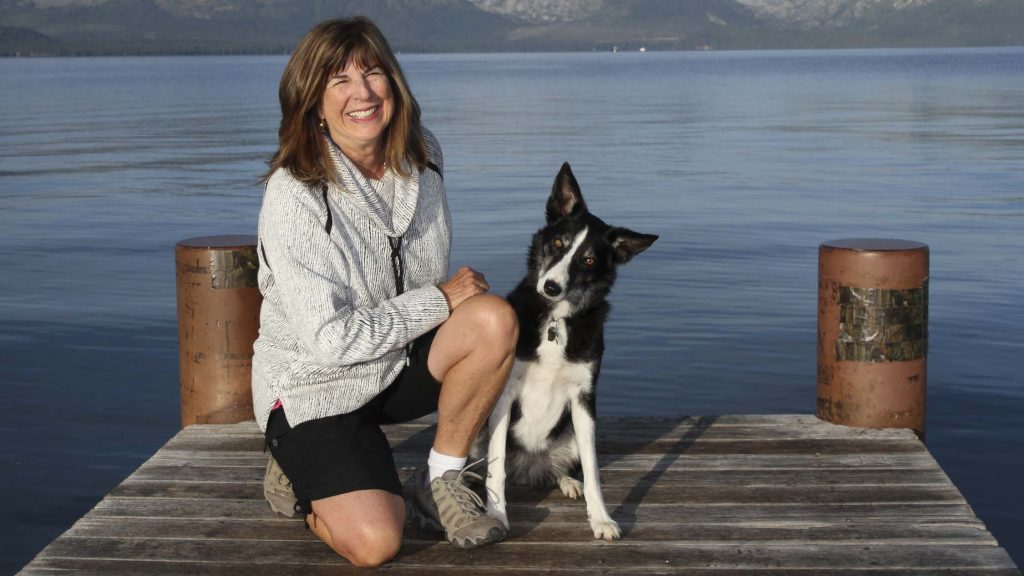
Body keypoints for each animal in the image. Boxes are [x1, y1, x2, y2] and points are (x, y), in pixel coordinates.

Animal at [477, 159, 659, 537]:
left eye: (588, 260)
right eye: (558, 242)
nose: (550, 286)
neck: (556, 319)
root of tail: (528, 468)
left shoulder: (584, 399)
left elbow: (593, 472)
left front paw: (601, 518)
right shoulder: (504, 393)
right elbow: (495, 469)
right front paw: (497, 515)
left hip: (572, 433)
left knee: (564, 468)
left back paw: (567, 481)